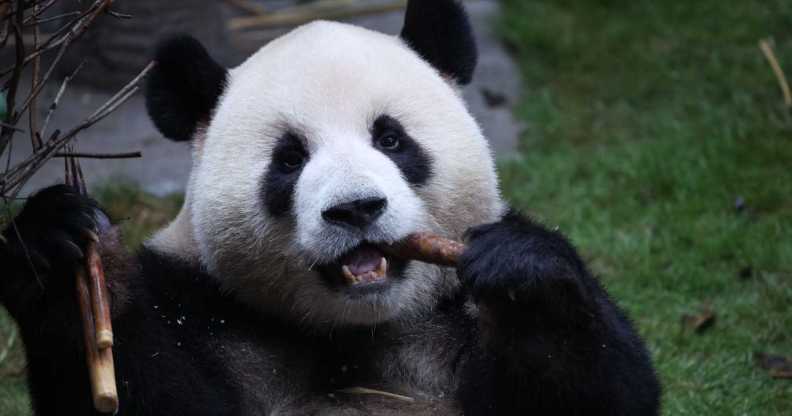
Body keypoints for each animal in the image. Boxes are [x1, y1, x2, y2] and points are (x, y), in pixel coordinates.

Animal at [0, 1, 660, 415]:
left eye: (391, 139)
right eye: (290, 159)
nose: (356, 210)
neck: (354, 329)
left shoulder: (453, 313)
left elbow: (606, 392)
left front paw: (521, 277)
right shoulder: (203, 304)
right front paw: (57, 247)